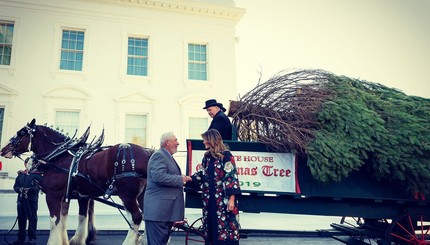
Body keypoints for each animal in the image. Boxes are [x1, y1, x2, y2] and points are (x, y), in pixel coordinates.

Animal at [0, 118, 153, 243]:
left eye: (21, 133)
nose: (3, 150)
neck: (58, 156)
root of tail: (147, 153)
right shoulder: (72, 196)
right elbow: (67, 219)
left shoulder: (53, 195)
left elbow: (54, 221)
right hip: (142, 195)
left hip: (127, 195)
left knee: (136, 217)